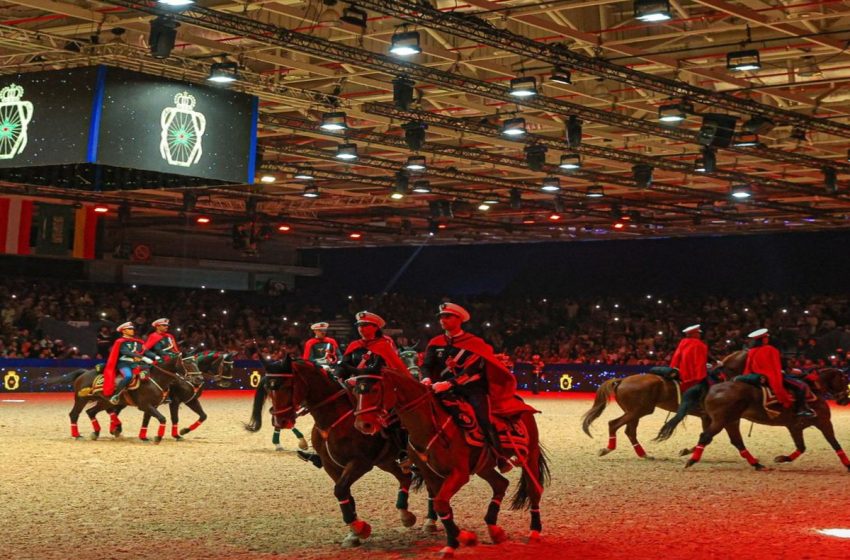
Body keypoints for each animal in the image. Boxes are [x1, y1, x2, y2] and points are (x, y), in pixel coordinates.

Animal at [65, 354, 199, 442]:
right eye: (187, 364)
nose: (199, 379)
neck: (156, 379)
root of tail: (83, 373)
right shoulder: (146, 405)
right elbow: (162, 418)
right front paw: (158, 437)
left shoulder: (152, 406)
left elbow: (146, 420)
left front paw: (143, 437)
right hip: (81, 399)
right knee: (74, 414)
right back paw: (77, 435)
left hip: (105, 402)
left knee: (91, 412)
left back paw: (97, 432)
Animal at [243, 354, 420, 548]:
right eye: (268, 387)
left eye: (288, 386)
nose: (280, 420)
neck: (335, 420)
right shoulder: (331, 465)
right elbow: (345, 494)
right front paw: (354, 532)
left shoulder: (360, 463)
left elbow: (341, 490)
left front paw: (359, 528)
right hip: (385, 461)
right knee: (405, 477)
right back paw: (407, 516)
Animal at [346, 368, 548, 556]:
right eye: (355, 392)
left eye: (374, 389)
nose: (362, 425)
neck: (430, 426)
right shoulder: (430, 474)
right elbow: (442, 506)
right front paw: (458, 540)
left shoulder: (459, 473)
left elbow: (441, 504)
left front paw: (458, 541)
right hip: (484, 466)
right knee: (500, 484)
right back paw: (494, 530)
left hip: (529, 457)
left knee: (534, 490)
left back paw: (534, 531)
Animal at [580, 350, 744, 460]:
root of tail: (621, 380)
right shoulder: (717, 418)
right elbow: (709, 437)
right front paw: (687, 451)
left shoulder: (706, 417)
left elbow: (706, 437)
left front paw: (686, 451)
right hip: (639, 411)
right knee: (614, 424)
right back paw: (608, 449)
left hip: (634, 412)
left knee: (630, 431)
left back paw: (644, 454)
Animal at [664, 368, 848, 472]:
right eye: (845, 381)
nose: (844, 400)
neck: (815, 390)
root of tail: (711, 388)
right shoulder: (823, 422)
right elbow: (835, 444)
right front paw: (848, 464)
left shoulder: (795, 427)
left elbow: (801, 447)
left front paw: (782, 458)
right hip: (721, 420)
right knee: (706, 437)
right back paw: (692, 460)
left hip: (731, 421)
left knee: (736, 442)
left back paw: (756, 464)